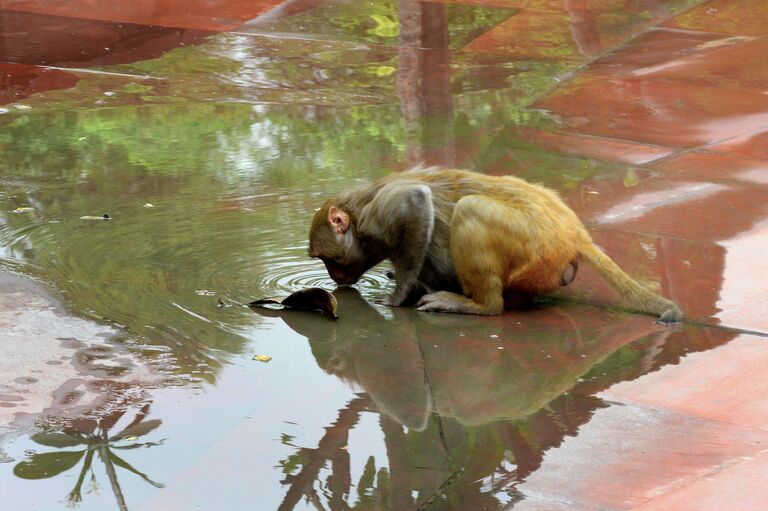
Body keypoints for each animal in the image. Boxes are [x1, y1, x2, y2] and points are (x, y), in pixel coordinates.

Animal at [308, 168, 680, 324]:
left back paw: (481, 305)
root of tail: (574, 234)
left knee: (471, 209)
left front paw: (398, 296)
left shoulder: (378, 216)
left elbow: (415, 202)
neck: (358, 215)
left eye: (328, 259)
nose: (333, 276)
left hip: (535, 247)